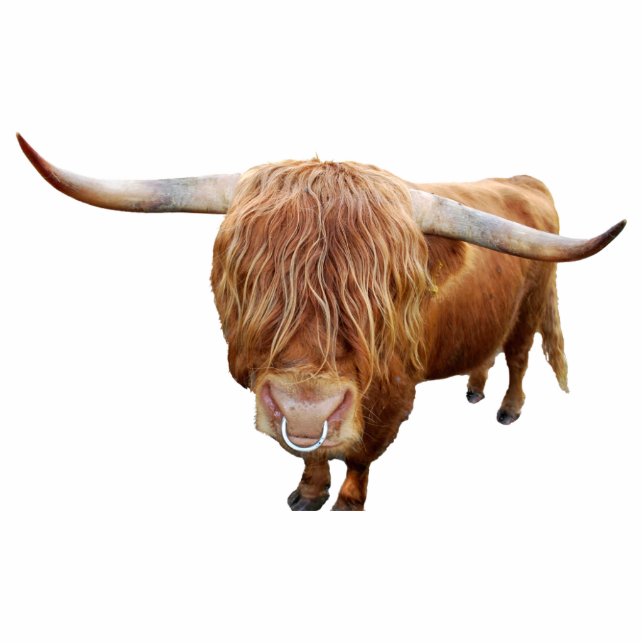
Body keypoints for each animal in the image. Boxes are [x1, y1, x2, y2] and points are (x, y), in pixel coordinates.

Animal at [17, 133, 626, 511]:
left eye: (387, 290)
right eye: (250, 278)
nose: (305, 407)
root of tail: (524, 179)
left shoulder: (392, 395)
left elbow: (359, 455)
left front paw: (347, 503)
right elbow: (310, 454)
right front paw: (308, 492)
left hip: (532, 305)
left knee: (518, 357)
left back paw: (507, 409)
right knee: (486, 352)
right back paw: (474, 390)